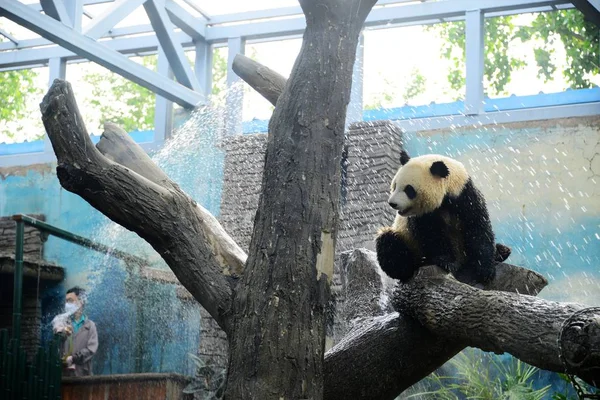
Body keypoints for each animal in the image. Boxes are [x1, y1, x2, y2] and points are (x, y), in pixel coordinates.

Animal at [376, 150, 510, 284]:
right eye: (395, 186)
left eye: (409, 189)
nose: (392, 203)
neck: (446, 197)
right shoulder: (423, 215)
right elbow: (432, 234)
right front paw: (445, 261)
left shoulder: (465, 196)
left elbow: (477, 227)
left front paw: (485, 270)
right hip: (407, 239)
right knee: (389, 243)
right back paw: (408, 268)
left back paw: (502, 252)